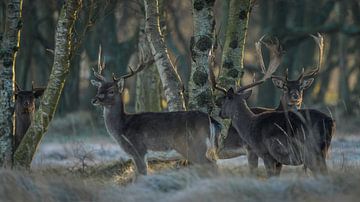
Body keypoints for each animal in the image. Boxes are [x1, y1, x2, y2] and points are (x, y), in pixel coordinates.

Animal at [91, 46, 221, 176]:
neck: (122, 128)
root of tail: (211, 120)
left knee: (212, 165)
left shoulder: (138, 150)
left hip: (195, 146)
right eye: (99, 89)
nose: (94, 99)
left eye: (111, 91)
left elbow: (141, 175)